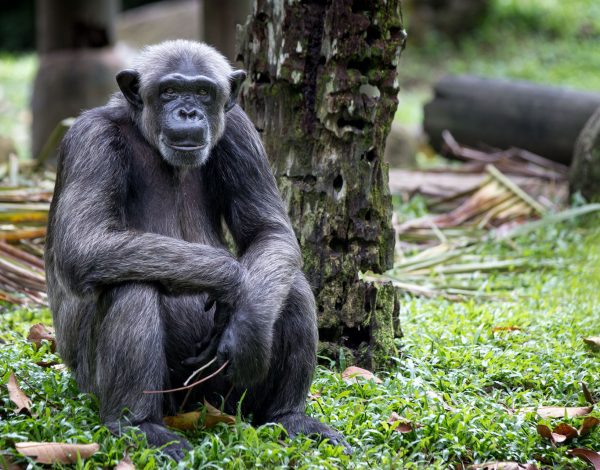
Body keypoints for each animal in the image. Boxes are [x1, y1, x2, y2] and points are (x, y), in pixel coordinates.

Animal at [45, 40, 346, 458]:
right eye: (170, 90)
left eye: (203, 91)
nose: (187, 111)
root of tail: (198, 407)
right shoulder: (90, 140)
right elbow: (85, 243)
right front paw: (232, 279)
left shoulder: (241, 132)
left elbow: (269, 232)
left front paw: (249, 321)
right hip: (112, 386)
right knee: (130, 286)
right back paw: (141, 426)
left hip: (228, 397)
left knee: (292, 286)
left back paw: (290, 416)